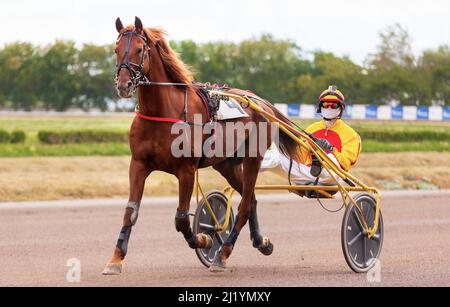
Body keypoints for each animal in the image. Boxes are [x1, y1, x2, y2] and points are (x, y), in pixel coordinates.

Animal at [103, 17, 298, 276]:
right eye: (116, 50)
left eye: (139, 49)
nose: (124, 85)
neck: (164, 112)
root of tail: (261, 102)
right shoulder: (138, 165)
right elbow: (130, 212)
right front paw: (115, 259)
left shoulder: (186, 170)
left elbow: (181, 219)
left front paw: (205, 240)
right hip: (227, 164)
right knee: (252, 199)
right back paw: (260, 242)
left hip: (252, 159)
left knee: (245, 205)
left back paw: (222, 254)